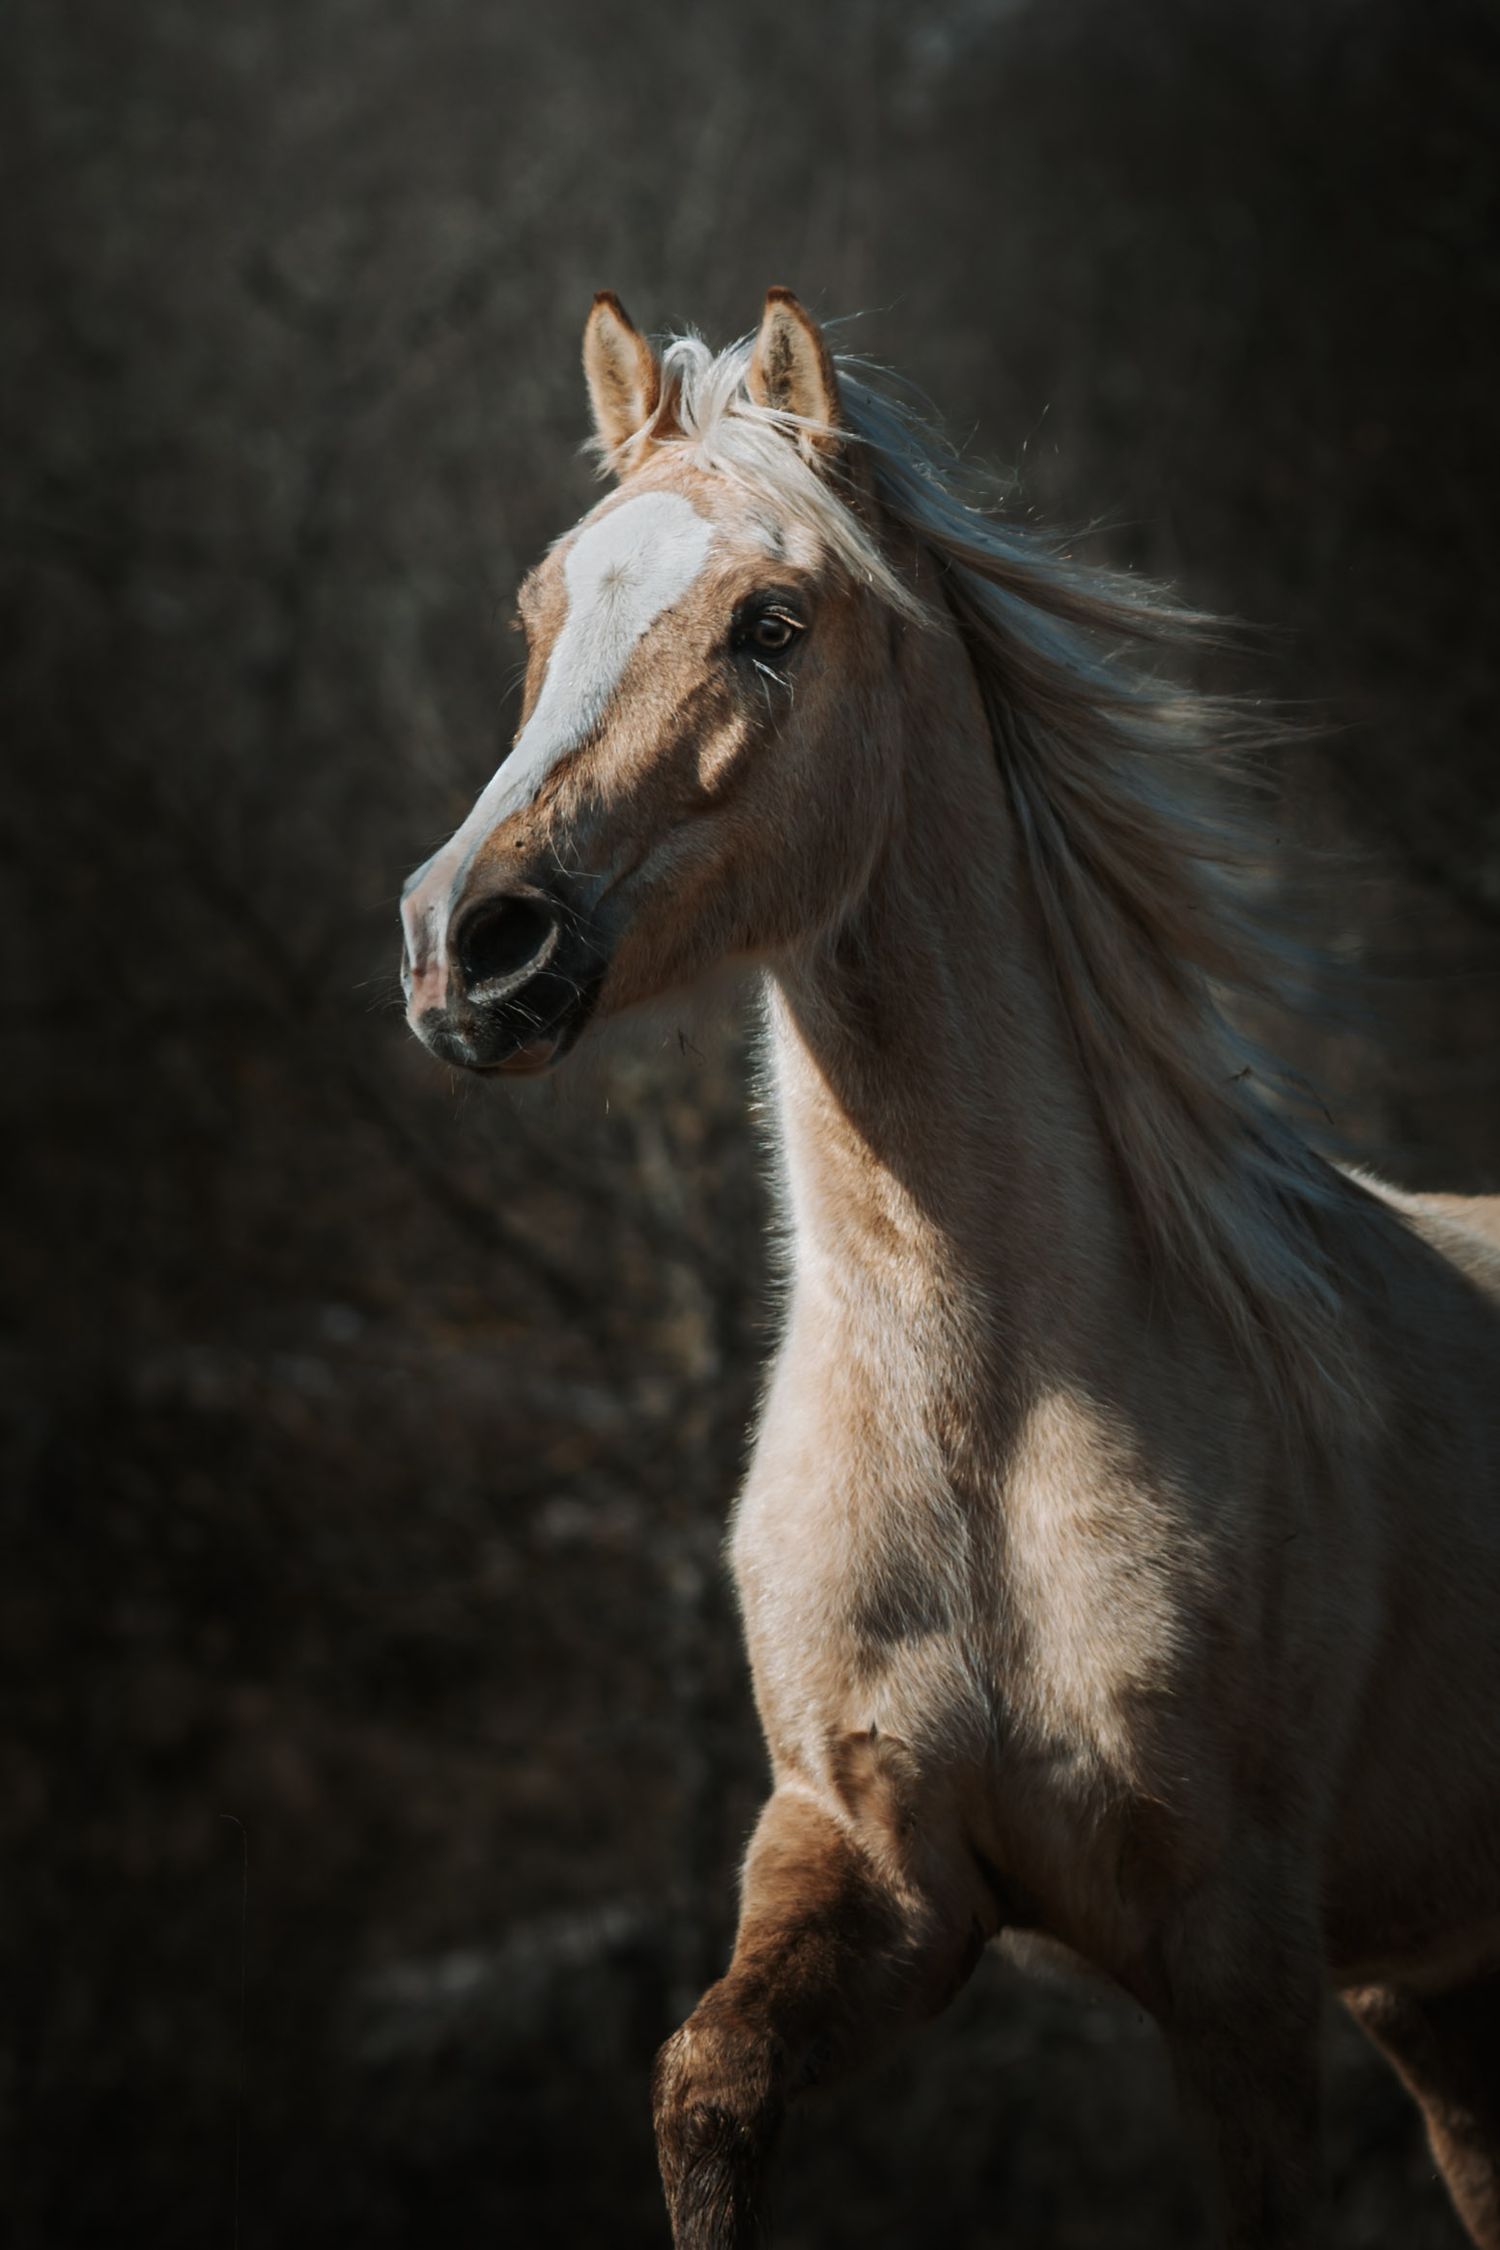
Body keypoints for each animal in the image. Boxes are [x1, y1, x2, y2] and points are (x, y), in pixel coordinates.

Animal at [399, 288, 1500, 2248]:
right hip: (1434, 1982)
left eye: (772, 623)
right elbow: (704, 2088)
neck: (981, 1411)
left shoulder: (1238, 1956)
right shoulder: (869, 1865)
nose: (471, 945)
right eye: (542, 612)